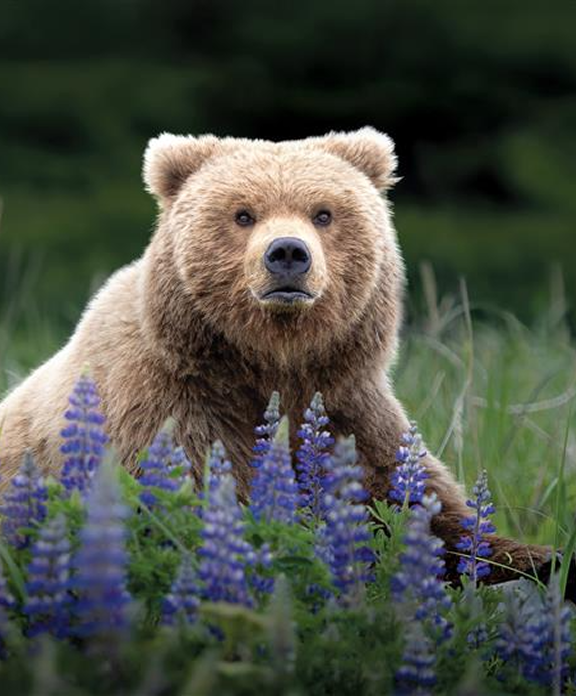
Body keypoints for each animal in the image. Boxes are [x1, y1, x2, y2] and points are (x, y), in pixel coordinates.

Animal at [0, 127, 559, 587]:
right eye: (243, 214)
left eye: (324, 213)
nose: (288, 253)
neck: (270, 364)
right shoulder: (165, 406)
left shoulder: (348, 403)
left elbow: (425, 506)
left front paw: (536, 558)